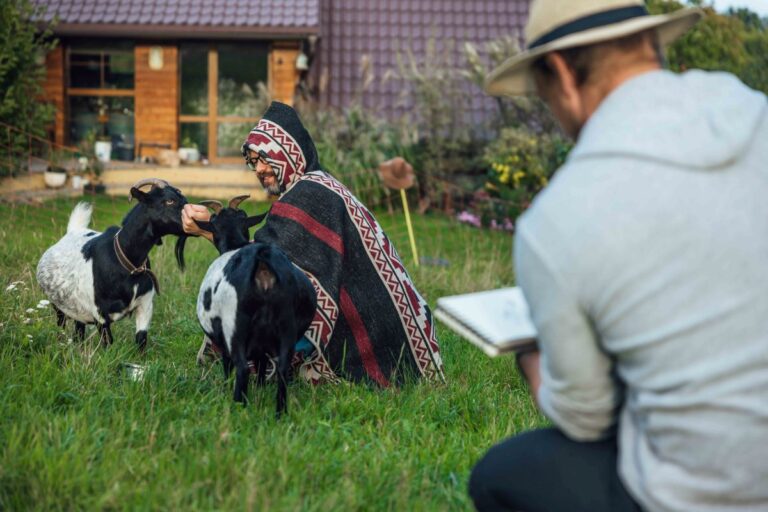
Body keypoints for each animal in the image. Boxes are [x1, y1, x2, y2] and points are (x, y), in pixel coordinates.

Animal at [36, 178, 190, 350]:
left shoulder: (145, 305)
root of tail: (72, 231)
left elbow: (141, 339)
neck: (127, 262)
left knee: (78, 331)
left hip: (77, 310)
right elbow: (108, 342)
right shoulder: (100, 314)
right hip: (58, 306)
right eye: (169, 201)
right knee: (62, 324)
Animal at [194, 195, 316, 416]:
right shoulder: (263, 345)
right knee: (282, 369)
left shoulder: (225, 339)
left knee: (241, 368)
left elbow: (228, 364)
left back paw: (238, 407)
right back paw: (280, 413)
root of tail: (262, 263)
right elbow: (261, 364)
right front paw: (260, 389)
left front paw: (226, 387)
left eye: (212, 224)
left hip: (235, 327)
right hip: (287, 325)